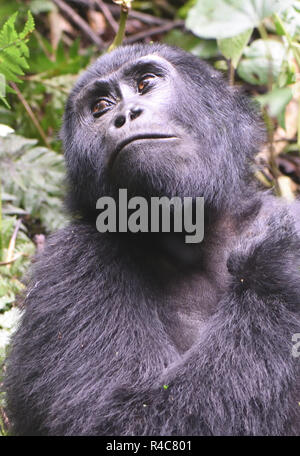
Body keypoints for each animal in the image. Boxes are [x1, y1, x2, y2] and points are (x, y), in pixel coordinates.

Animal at [2, 44, 300, 436]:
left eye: (145, 84)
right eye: (100, 107)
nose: (126, 114)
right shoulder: (70, 261)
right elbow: (117, 419)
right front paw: (280, 265)